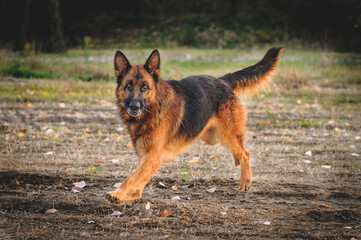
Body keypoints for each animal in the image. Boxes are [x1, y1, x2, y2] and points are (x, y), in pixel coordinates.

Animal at [105, 47, 282, 204]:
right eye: (128, 85)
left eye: (144, 87)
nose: (134, 106)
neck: (153, 109)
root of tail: (222, 80)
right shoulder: (145, 156)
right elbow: (139, 176)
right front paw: (133, 196)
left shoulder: (153, 157)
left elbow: (132, 177)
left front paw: (117, 194)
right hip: (212, 136)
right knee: (239, 149)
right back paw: (237, 160)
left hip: (226, 134)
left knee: (245, 152)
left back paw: (245, 180)